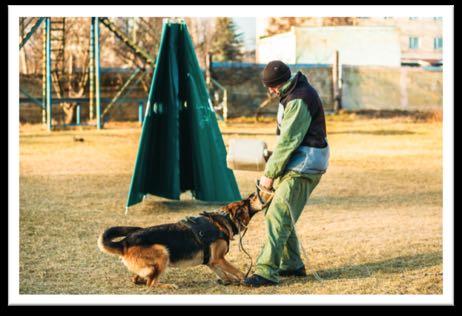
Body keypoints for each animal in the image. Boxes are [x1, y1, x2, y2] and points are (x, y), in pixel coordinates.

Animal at [97, 190, 270, 288]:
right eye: (247, 202)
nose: (253, 194)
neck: (225, 219)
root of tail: (125, 242)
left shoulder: (212, 261)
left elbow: (224, 274)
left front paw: (229, 281)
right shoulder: (219, 259)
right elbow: (238, 272)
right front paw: (244, 280)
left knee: (137, 278)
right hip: (163, 252)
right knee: (151, 284)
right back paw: (167, 286)